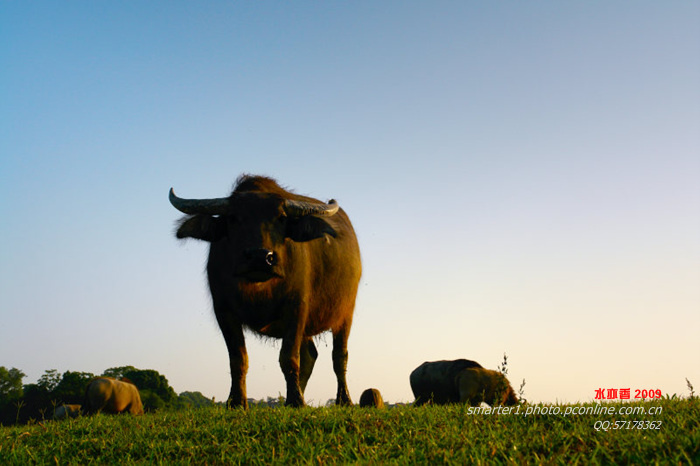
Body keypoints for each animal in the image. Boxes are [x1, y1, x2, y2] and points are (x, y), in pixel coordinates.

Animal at [171, 175, 360, 408]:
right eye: (232, 218)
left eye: (281, 218)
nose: (260, 257)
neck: (259, 288)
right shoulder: (223, 310)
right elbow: (238, 359)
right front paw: (236, 401)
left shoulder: (297, 307)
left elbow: (289, 357)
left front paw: (296, 401)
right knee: (310, 355)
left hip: (345, 312)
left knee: (339, 355)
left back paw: (343, 399)